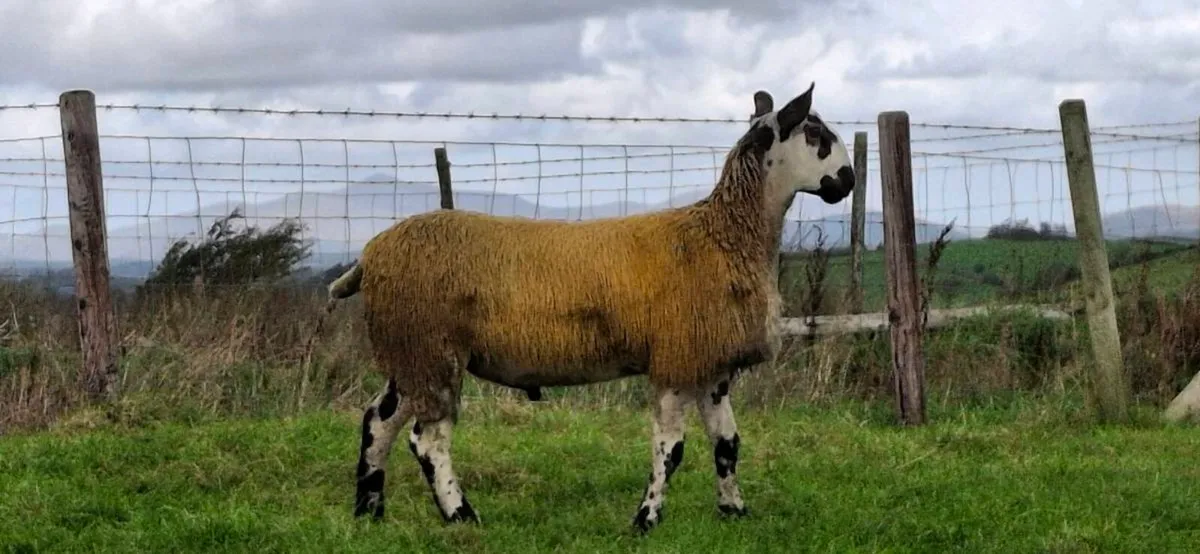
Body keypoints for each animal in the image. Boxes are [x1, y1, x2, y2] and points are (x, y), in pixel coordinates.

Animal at [326, 82, 856, 532]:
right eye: (815, 133)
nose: (848, 181)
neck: (723, 237)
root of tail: (371, 255)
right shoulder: (675, 358)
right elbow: (671, 449)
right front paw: (646, 520)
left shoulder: (712, 364)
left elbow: (727, 445)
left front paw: (734, 511)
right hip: (431, 349)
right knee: (428, 439)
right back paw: (461, 515)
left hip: (410, 351)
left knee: (377, 422)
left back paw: (369, 510)